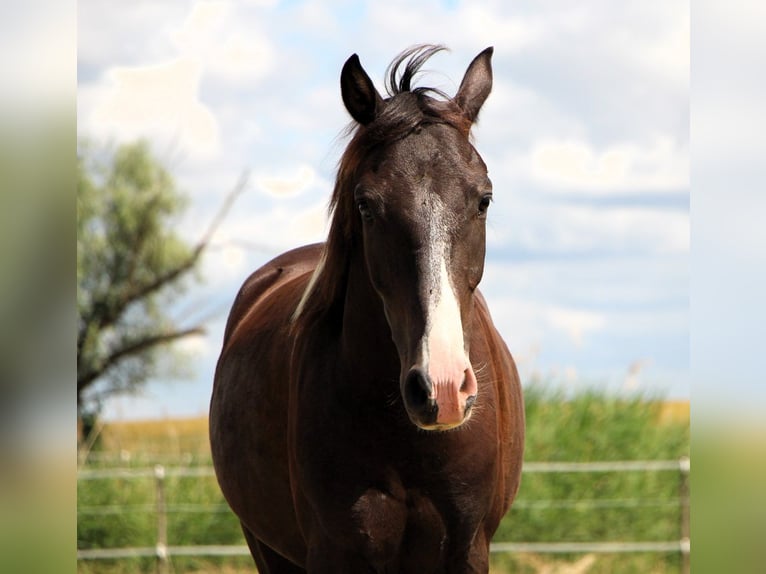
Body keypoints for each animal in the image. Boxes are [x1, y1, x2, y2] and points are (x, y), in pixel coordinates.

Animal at [208, 46, 528, 574]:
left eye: (483, 200)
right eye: (366, 205)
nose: (442, 388)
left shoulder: (467, 549)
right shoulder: (335, 551)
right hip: (266, 547)